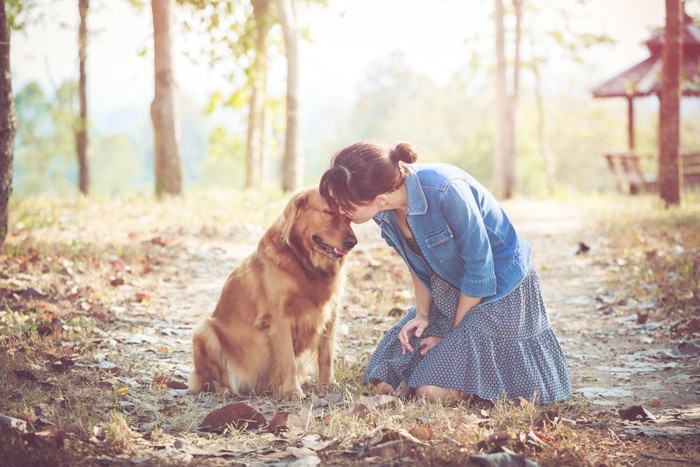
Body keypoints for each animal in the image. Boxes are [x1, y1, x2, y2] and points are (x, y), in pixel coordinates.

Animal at [189, 186, 358, 398]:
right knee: (207, 380)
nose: (352, 242)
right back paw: (224, 388)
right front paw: (293, 391)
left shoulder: (331, 313)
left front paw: (328, 383)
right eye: (328, 211)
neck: (305, 264)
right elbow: (288, 360)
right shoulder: (280, 319)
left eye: (348, 216)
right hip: (204, 329)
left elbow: (326, 354)